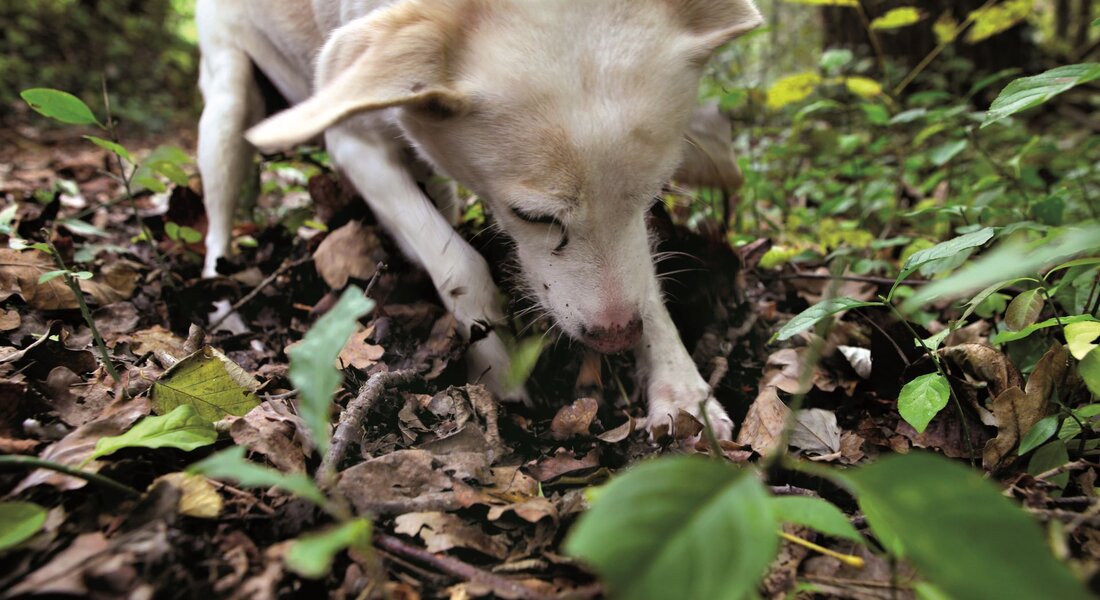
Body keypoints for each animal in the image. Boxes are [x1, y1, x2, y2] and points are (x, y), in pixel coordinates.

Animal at [195, 0, 756, 435]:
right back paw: (220, 300)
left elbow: (646, 280)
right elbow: (456, 265)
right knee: (219, 214)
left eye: (655, 195)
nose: (616, 335)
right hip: (227, 103)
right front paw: (495, 369)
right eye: (532, 216)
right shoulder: (352, 143)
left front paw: (680, 386)